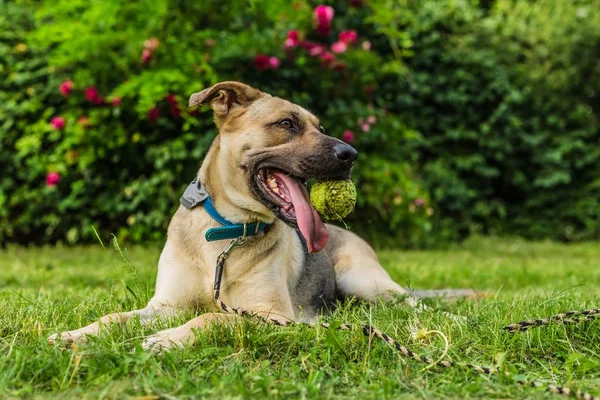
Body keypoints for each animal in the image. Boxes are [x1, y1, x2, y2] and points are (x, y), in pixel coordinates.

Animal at [48, 82, 478, 350]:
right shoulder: (165, 307)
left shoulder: (270, 316)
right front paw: (78, 334)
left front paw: (168, 340)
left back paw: (454, 320)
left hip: (365, 281)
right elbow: (115, 317)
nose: (351, 155)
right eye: (286, 124)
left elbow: (213, 319)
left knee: (414, 304)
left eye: (319, 127)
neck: (224, 233)